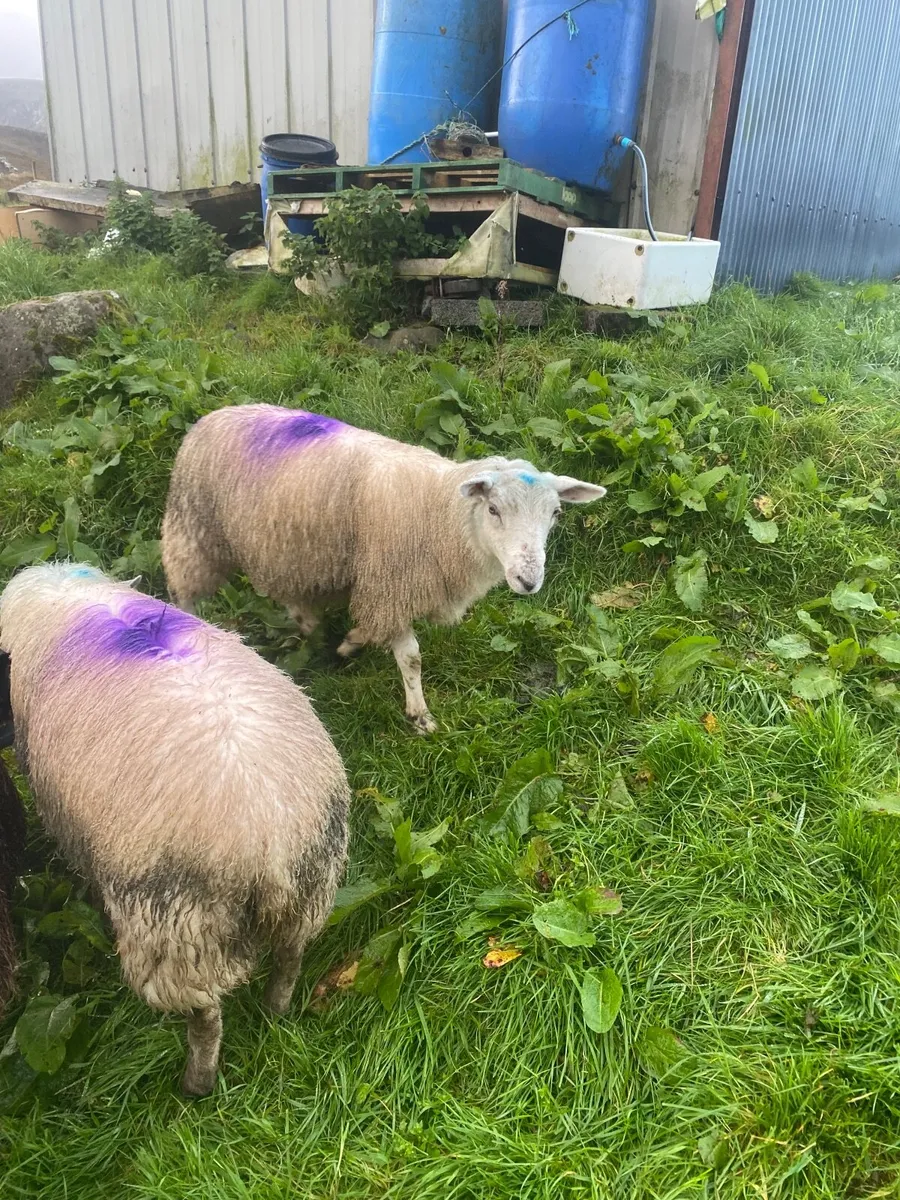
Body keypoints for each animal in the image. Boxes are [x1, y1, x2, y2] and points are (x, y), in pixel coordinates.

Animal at [0, 563, 349, 1096]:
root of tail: (267, 836)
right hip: (312, 883)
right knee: (290, 958)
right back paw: (277, 1011)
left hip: (177, 930)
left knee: (206, 1017)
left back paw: (196, 1083)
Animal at [161, 404, 606, 733]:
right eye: (494, 509)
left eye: (555, 513)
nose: (529, 581)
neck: (440, 513)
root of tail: (214, 414)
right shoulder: (391, 585)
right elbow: (411, 658)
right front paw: (419, 713)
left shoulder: (386, 586)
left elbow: (374, 633)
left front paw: (350, 641)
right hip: (195, 530)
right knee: (184, 590)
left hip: (289, 551)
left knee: (297, 599)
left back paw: (309, 630)